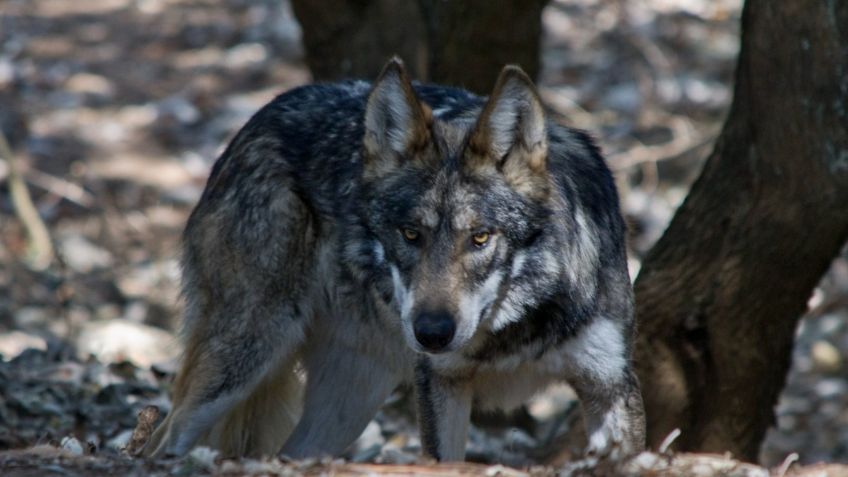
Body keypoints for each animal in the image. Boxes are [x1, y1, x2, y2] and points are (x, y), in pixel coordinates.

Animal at [146, 56, 644, 462]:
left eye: (480, 238)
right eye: (410, 234)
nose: (432, 333)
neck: (514, 330)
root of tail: (256, 121)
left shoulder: (611, 388)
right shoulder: (440, 386)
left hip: (348, 402)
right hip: (245, 355)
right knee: (163, 439)